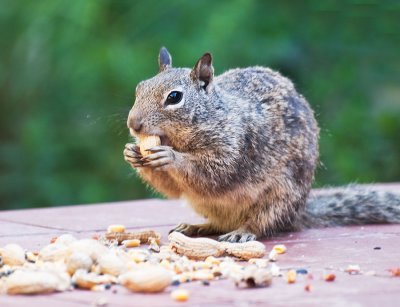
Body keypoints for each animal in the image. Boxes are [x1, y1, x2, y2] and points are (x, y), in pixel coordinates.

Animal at [122, 46, 400, 243]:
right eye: (138, 88)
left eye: (174, 97)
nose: (133, 124)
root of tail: (298, 213)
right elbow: (172, 188)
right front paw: (132, 153)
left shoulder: (238, 146)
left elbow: (213, 173)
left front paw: (170, 157)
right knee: (218, 223)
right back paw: (196, 227)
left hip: (280, 196)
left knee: (262, 224)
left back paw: (241, 231)